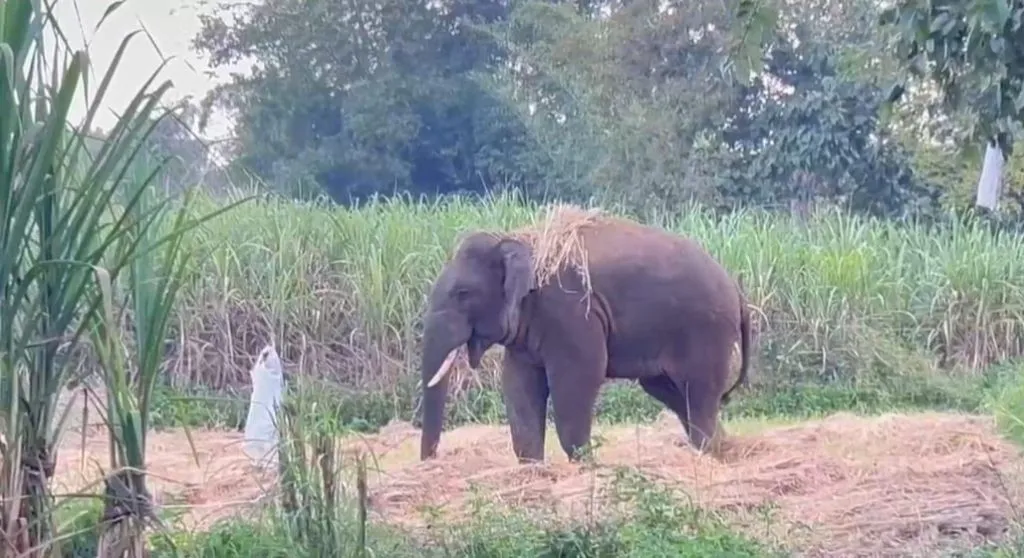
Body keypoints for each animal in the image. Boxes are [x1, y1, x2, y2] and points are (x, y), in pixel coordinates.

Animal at [418, 213, 752, 464]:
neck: (523, 239)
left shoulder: (571, 311)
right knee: (670, 392)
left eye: (463, 294)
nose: (430, 461)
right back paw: (720, 451)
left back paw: (707, 455)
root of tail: (738, 291)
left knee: (698, 394)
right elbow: (519, 384)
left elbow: (578, 377)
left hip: (706, 332)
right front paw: (535, 470)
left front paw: (587, 466)